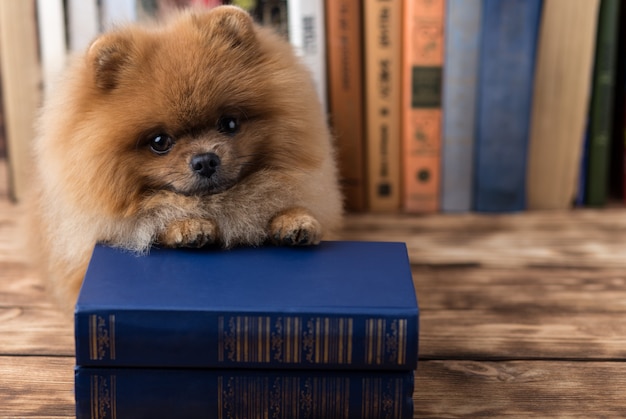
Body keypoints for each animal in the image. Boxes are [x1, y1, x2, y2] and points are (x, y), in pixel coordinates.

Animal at [30, 4, 342, 310]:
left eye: (229, 123)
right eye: (159, 142)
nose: (205, 161)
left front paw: (295, 220)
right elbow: (152, 220)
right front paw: (187, 225)